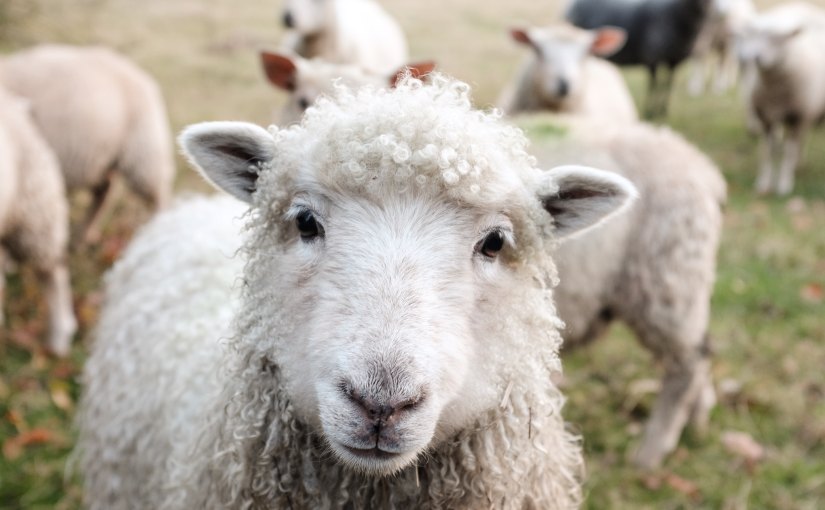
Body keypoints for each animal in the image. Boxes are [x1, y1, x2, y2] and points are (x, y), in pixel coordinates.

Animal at [0, 44, 175, 244]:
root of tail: (141, 75)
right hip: (101, 158)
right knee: (104, 192)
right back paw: (84, 235)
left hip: (144, 151)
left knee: (159, 192)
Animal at [566, 0, 711, 118]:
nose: (701, 6)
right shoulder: (652, 58)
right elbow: (654, 85)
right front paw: (650, 111)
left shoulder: (674, 61)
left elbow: (667, 85)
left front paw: (663, 111)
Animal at [736, 2, 825, 195]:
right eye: (754, 35)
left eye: (778, 39)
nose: (756, 57)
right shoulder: (765, 117)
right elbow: (768, 152)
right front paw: (764, 183)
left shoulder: (797, 117)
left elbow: (788, 152)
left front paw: (784, 184)